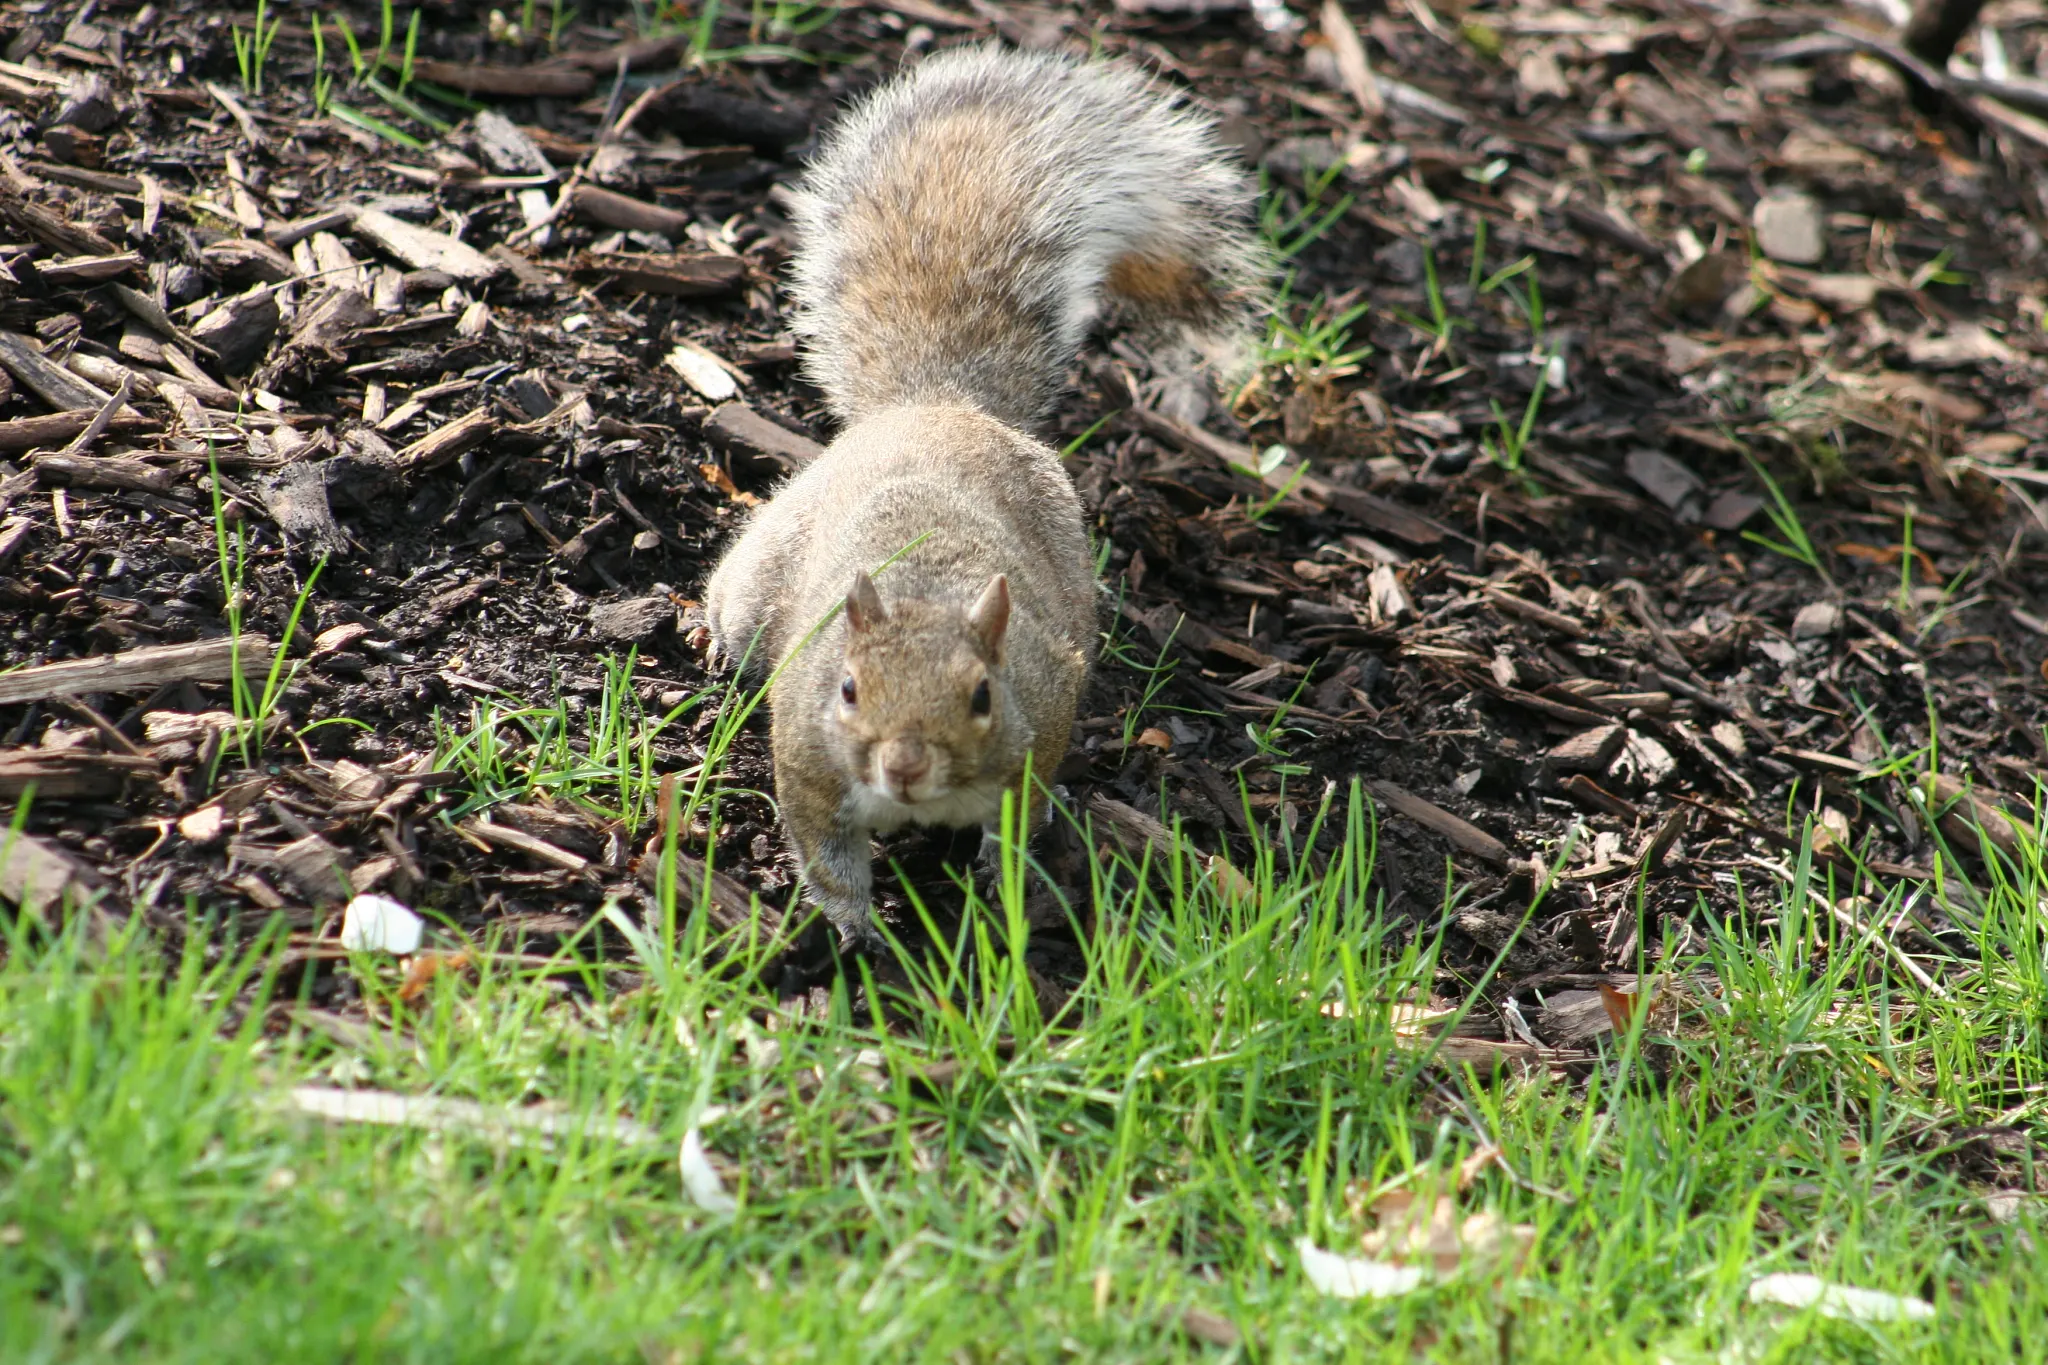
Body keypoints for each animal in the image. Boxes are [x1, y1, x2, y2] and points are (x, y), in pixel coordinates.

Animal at [703, 45, 1266, 947]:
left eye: (982, 695)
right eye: (847, 689)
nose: (904, 764)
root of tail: (939, 404)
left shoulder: (1034, 735)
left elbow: (1013, 829)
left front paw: (999, 897)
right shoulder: (809, 764)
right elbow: (827, 856)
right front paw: (854, 929)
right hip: (767, 572)